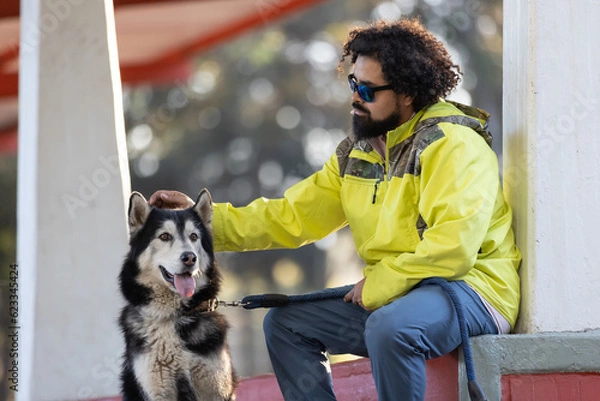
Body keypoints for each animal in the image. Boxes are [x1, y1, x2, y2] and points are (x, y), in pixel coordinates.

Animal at [117, 189, 237, 398]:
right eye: (164, 236)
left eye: (194, 237)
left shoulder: (216, 388)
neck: (171, 316)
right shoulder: (158, 389)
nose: (190, 258)